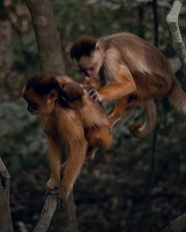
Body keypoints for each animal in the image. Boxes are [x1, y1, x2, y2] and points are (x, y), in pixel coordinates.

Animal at [21, 74, 112, 205]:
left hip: (106, 137)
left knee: (95, 134)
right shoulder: (49, 112)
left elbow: (79, 145)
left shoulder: (65, 113)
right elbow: (53, 137)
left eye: (33, 103)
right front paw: (54, 179)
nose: (28, 108)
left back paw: (90, 151)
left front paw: (64, 190)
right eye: (28, 102)